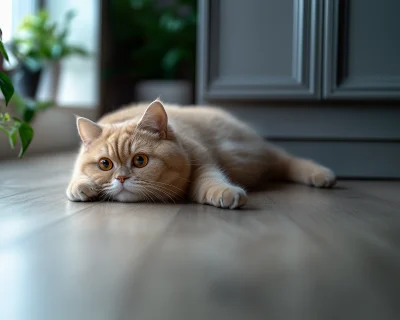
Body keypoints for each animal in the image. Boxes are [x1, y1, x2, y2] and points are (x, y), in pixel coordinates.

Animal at [67, 100, 336, 210]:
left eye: (140, 160)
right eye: (105, 164)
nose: (121, 179)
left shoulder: (203, 162)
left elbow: (211, 180)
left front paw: (226, 192)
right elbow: (76, 176)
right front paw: (80, 186)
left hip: (256, 153)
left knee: (288, 161)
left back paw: (321, 175)